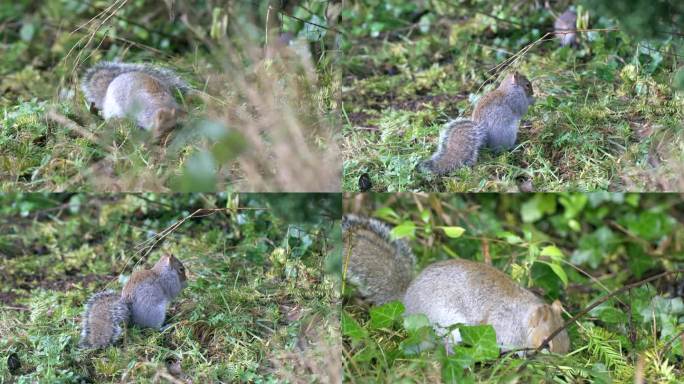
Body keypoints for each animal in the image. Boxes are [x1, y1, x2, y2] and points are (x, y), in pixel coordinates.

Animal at [342, 213, 572, 354]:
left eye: (568, 340)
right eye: (546, 344)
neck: (522, 318)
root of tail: (405, 302)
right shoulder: (503, 327)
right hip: (445, 324)